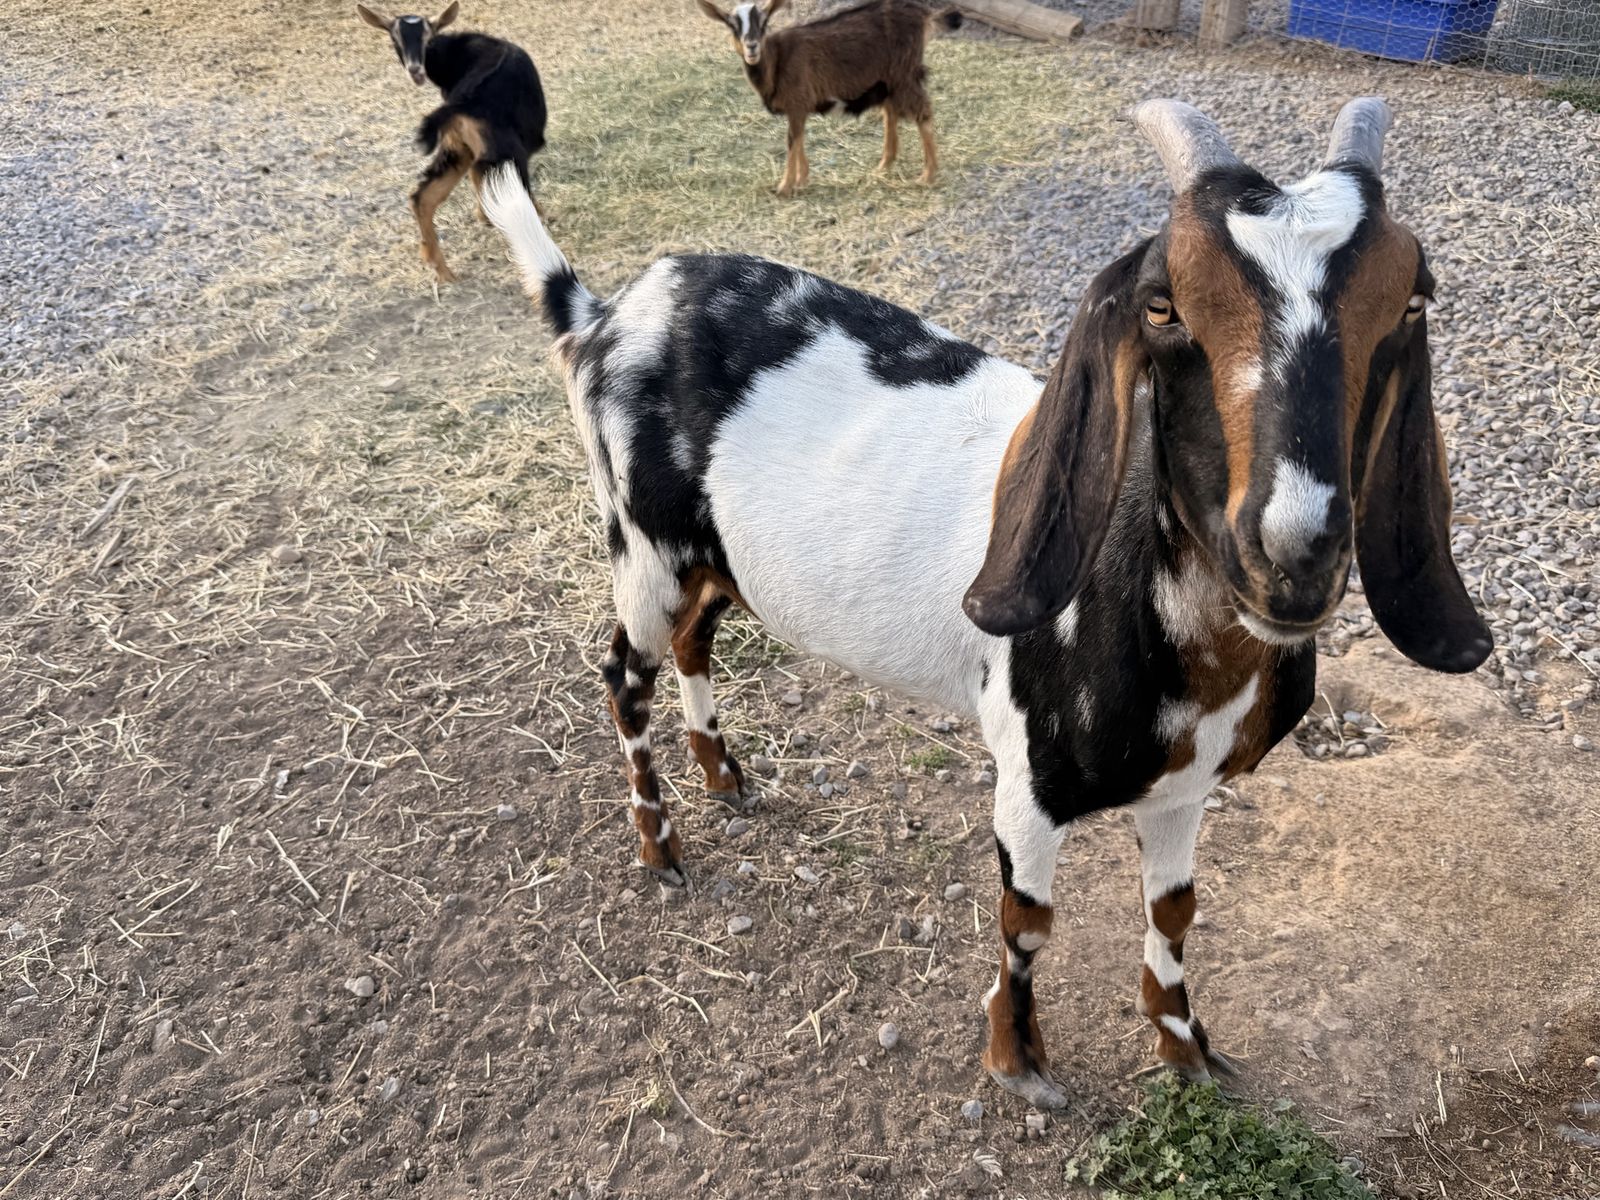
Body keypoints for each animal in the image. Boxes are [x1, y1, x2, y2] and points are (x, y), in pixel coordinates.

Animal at [357, 2, 547, 281]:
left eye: (428, 36)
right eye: (395, 38)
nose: (415, 70)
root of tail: (461, 103)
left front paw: (483, 217)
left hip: (455, 149)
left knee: (422, 196)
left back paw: (440, 267)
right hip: (504, 152)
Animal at [479, 97, 1492, 1109]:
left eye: (1409, 300)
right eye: (1164, 304)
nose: (1293, 555)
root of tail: (606, 315)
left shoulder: (1185, 789)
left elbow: (1176, 910)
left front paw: (1188, 1050)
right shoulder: (1027, 782)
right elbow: (1027, 921)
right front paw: (1019, 1064)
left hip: (718, 560)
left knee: (696, 641)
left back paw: (727, 779)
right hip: (643, 545)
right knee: (624, 672)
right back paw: (661, 847)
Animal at [696, 0, 962, 196]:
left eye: (764, 22)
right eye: (732, 25)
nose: (751, 47)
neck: (777, 59)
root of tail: (922, 14)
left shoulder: (797, 100)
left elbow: (792, 141)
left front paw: (785, 187)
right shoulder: (798, 107)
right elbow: (798, 139)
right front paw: (801, 179)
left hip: (904, 74)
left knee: (922, 113)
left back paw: (927, 175)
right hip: (887, 82)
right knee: (891, 114)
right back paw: (883, 166)